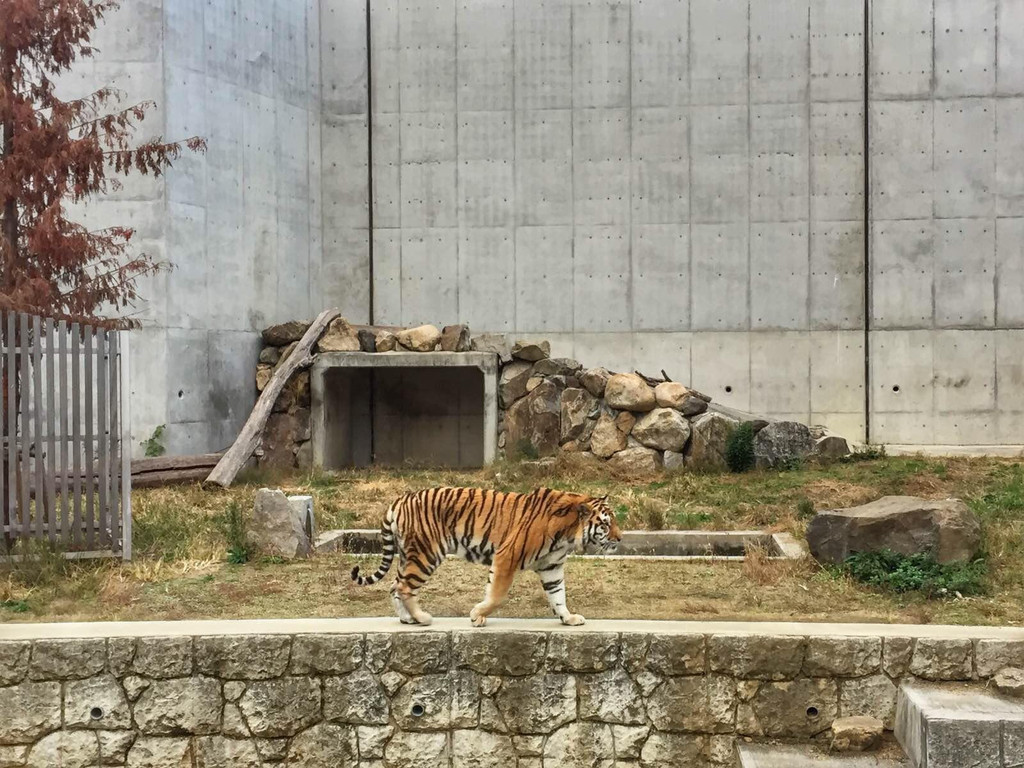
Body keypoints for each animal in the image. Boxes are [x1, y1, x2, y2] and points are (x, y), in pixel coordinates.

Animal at [352, 489, 622, 626]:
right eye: (606, 524)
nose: (620, 538)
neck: (567, 533)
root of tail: (399, 499)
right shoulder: (507, 556)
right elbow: (497, 594)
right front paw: (477, 615)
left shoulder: (552, 567)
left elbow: (558, 596)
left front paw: (569, 618)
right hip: (425, 553)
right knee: (405, 586)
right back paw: (421, 618)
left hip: (407, 554)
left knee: (394, 585)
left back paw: (407, 619)